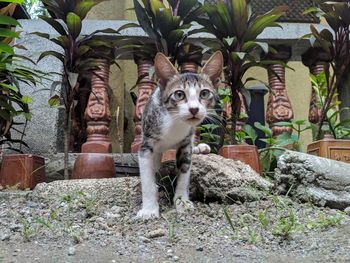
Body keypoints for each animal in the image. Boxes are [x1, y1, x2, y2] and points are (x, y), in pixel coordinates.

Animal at [137, 50, 224, 220]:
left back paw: (200, 148)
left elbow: (184, 173)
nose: (194, 109)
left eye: (204, 93)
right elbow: (147, 179)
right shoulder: (146, 144)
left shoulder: (185, 145)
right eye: (179, 94)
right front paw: (149, 209)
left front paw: (182, 201)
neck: (174, 122)